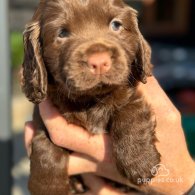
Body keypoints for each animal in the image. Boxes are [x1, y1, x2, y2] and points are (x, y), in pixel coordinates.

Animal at [21, 0, 161, 194]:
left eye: (116, 25)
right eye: (62, 33)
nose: (99, 61)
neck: (90, 100)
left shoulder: (132, 94)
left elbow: (130, 113)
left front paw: (140, 162)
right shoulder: (44, 116)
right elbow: (45, 145)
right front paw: (46, 186)